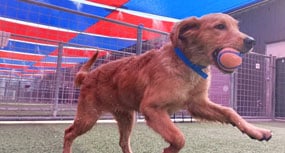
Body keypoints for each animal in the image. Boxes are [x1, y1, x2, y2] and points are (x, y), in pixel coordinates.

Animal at [63, 13, 272, 153]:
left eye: (236, 27)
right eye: (220, 26)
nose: (251, 41)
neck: (188, 65)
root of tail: (87, 76)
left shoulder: (198, 104)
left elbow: (230, 112)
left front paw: (256, 131)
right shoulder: (152, 108)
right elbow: (179, 138)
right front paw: (169, 149)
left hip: (127, 118)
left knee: (123, 142)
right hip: (88, 117)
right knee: (68, 132)